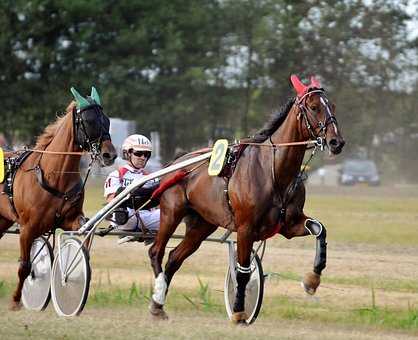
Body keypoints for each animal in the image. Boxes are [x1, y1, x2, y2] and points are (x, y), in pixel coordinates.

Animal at [0, 86, 116, 310]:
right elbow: (25, 266)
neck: (54, 175)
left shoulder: (71, 219)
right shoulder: (27, 228)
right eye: (89, 121)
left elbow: (82, 240)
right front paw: (16, 300)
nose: (110, 155)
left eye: (106, 120)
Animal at [149, 74, 344, 322]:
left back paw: (159, 304)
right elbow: (242, 272)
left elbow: (319, 229)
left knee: (174, 257)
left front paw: (312, 280)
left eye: (333, 106)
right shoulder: (245, 228)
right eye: (314, 107)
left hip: (203, 224)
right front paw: (240, 311)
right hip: (172, 212)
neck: (274, 171)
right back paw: (158, 294)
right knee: (156, 251)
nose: (337, 142)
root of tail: (177, 162)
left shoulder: (289, 225)